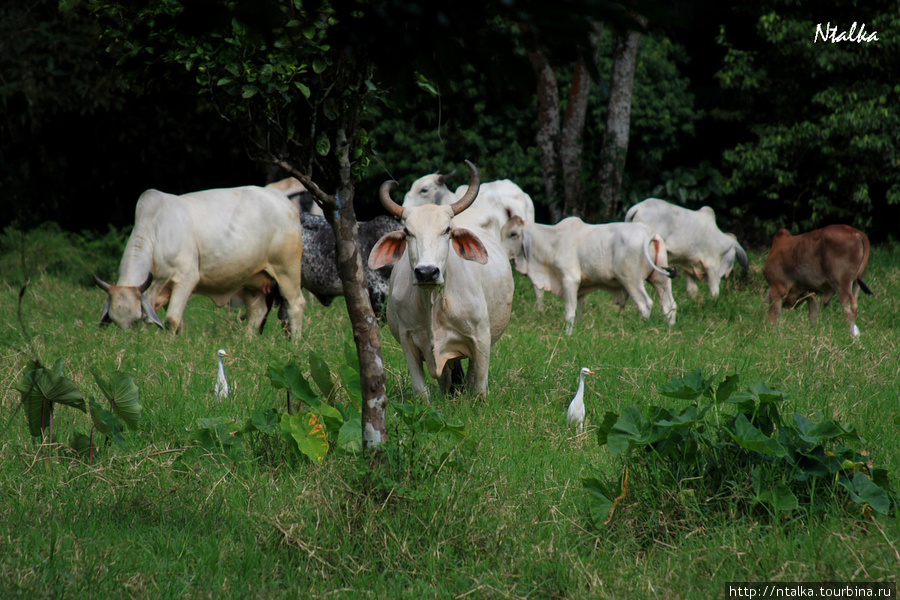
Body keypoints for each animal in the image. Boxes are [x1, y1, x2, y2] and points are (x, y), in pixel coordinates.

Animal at [93, 178, 306, 338]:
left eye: (136, 319)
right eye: (115, 321)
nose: (128, 341)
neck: (156, 232)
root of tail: (283, 201)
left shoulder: (185, 279)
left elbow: (171, 321)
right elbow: (177, 322)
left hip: (287, 271)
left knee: (296, 304)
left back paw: (295, 342)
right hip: (252, 280)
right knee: (258, 312)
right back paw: (247, 341)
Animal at [370, 158, 512, 398]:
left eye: (447, 230)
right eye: (407, 232)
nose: (427, 272)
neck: (433, 303)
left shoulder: (481, 339)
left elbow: (479, 388)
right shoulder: (407, 340)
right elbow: (421, 391)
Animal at [500, 213, 676, 332]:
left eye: (513, 234)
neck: (552, 241)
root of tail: (650, 232)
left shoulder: (570, 279)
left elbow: (569, 312)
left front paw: (567, 334)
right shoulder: (581, 287)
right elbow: (578, 311)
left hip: (631, 280)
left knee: (645, 304)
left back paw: (641, 329)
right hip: (660, 279)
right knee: (669, 304)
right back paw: (670, 329)